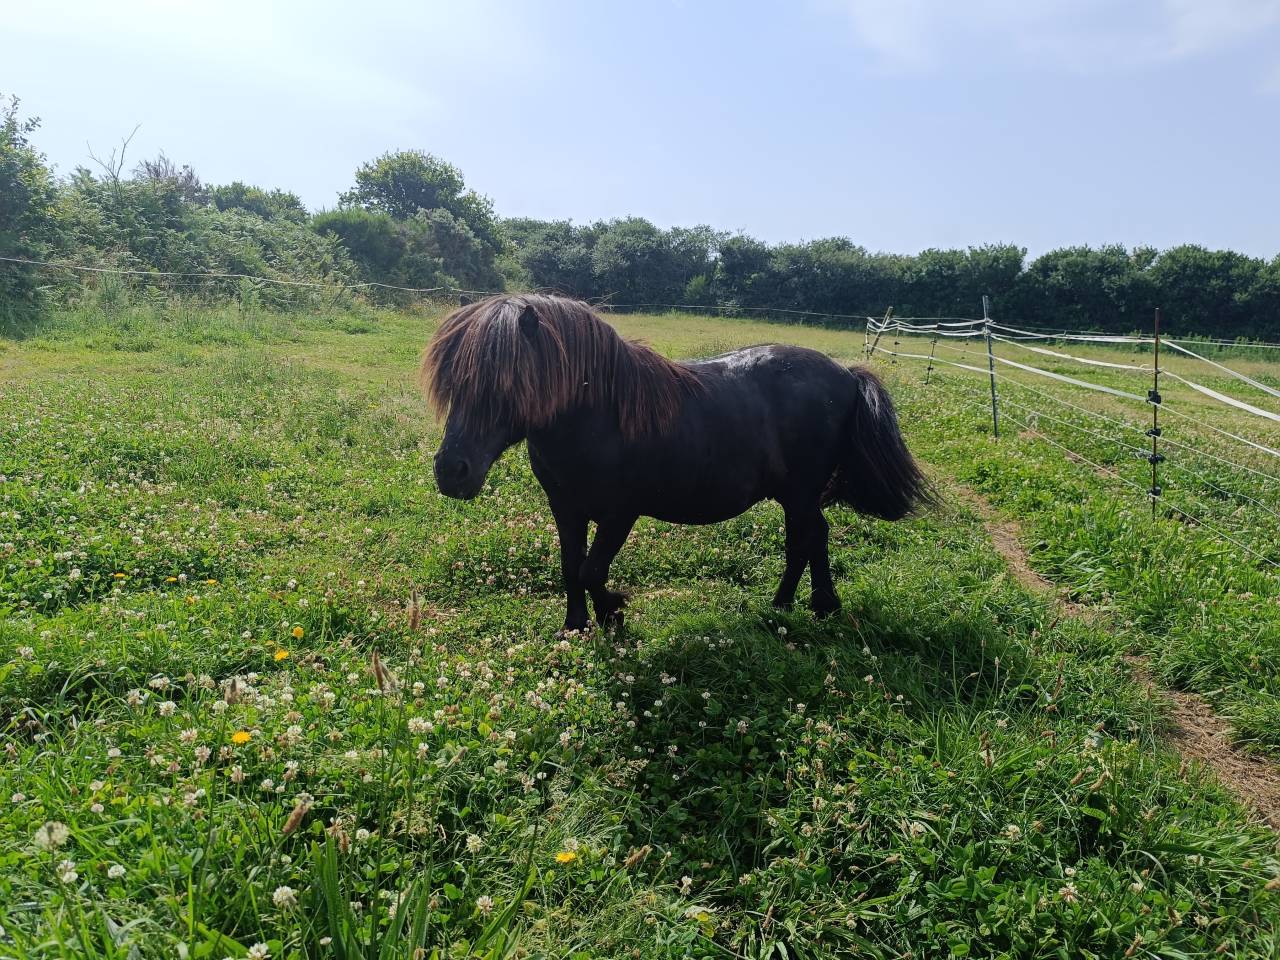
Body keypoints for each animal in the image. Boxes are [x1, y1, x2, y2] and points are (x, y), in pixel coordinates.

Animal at [422, 294, 933, 633]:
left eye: (507, 381)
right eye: (451, 381)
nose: (451, 472)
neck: (598, 417)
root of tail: (845, 373)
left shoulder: (619, 514)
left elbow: (591, 571)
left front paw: (613, 610)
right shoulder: (565, 509)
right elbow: (571, 567)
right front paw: (576, 625)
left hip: (800, 493)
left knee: (806, 539)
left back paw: (803, 604)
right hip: (795, 495)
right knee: (811, 539)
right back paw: (800, 605)